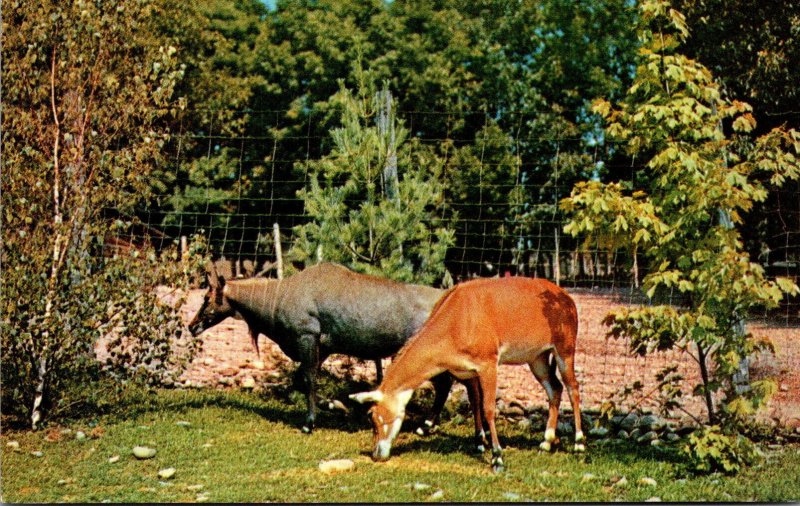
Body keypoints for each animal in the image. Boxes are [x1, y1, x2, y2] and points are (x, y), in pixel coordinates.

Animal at [350, 274, 580, 472]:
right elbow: (475, 402)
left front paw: (497, 458)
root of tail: (566, 298)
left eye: (374, 416)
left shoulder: (488, 365)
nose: (377, 453)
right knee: (555, 389)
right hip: (537, 359)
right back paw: (546, 443)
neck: (457, 318)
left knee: (573, 388)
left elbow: (488, 408)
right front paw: (479, 443)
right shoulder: (467, 372)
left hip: (564, 351)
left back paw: (579, 443)